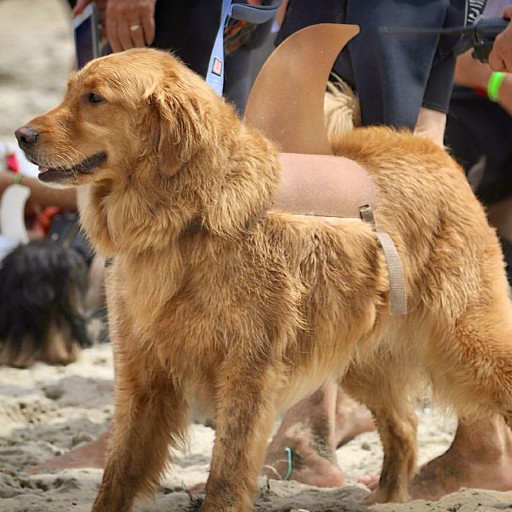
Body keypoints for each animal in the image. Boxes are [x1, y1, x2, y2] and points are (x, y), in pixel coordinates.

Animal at [15, 47, 512, 508]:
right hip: (363, 357)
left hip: (464, 339)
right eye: (68, 92)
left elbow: (227, 469)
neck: (185, 218)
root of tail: (431, 150)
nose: (21, 136)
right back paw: (385, 499)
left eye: (95, 98)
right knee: (406, 426)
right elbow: (118, 472)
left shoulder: (248, 369)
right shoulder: (144, 370)